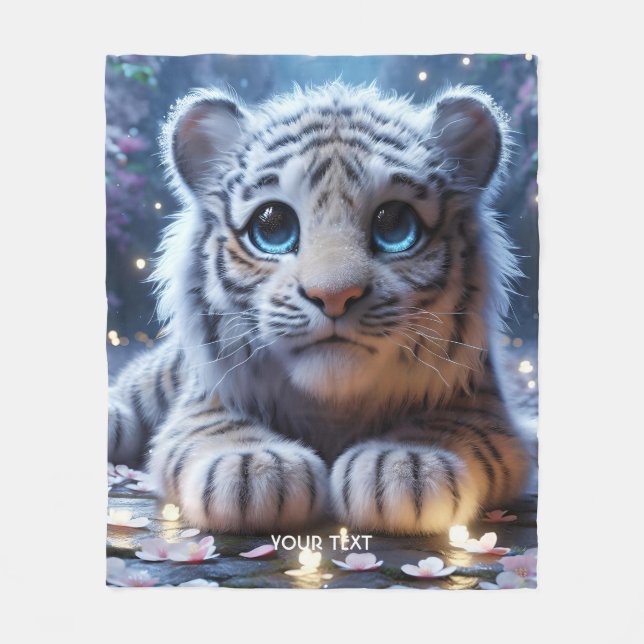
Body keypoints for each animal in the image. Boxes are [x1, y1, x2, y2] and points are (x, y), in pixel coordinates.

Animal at [107, 81, 532, 535]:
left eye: (395, 225)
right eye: (271, 226)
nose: (334, 296)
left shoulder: (483, 402)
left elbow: (453, 425)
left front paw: (406, 465)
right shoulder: (205, 395)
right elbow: (212, 427)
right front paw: (254, 469)